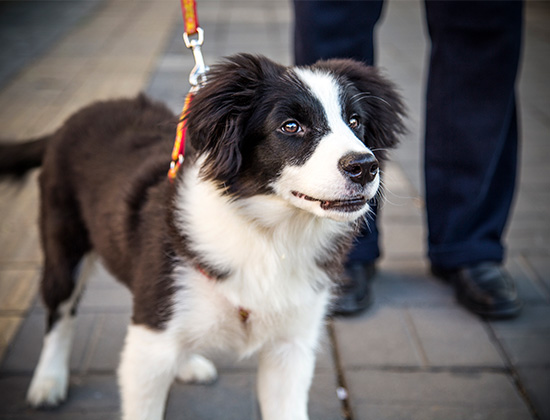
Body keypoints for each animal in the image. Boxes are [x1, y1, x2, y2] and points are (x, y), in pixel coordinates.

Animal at [0, 54, 406, 418]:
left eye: (354, 121)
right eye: (291, 126)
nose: (365, 166)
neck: (269, 237)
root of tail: (71, 119)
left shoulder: (290, 347)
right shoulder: (147, 349)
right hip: (63, 247)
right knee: (60, 314)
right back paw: (48, 382)